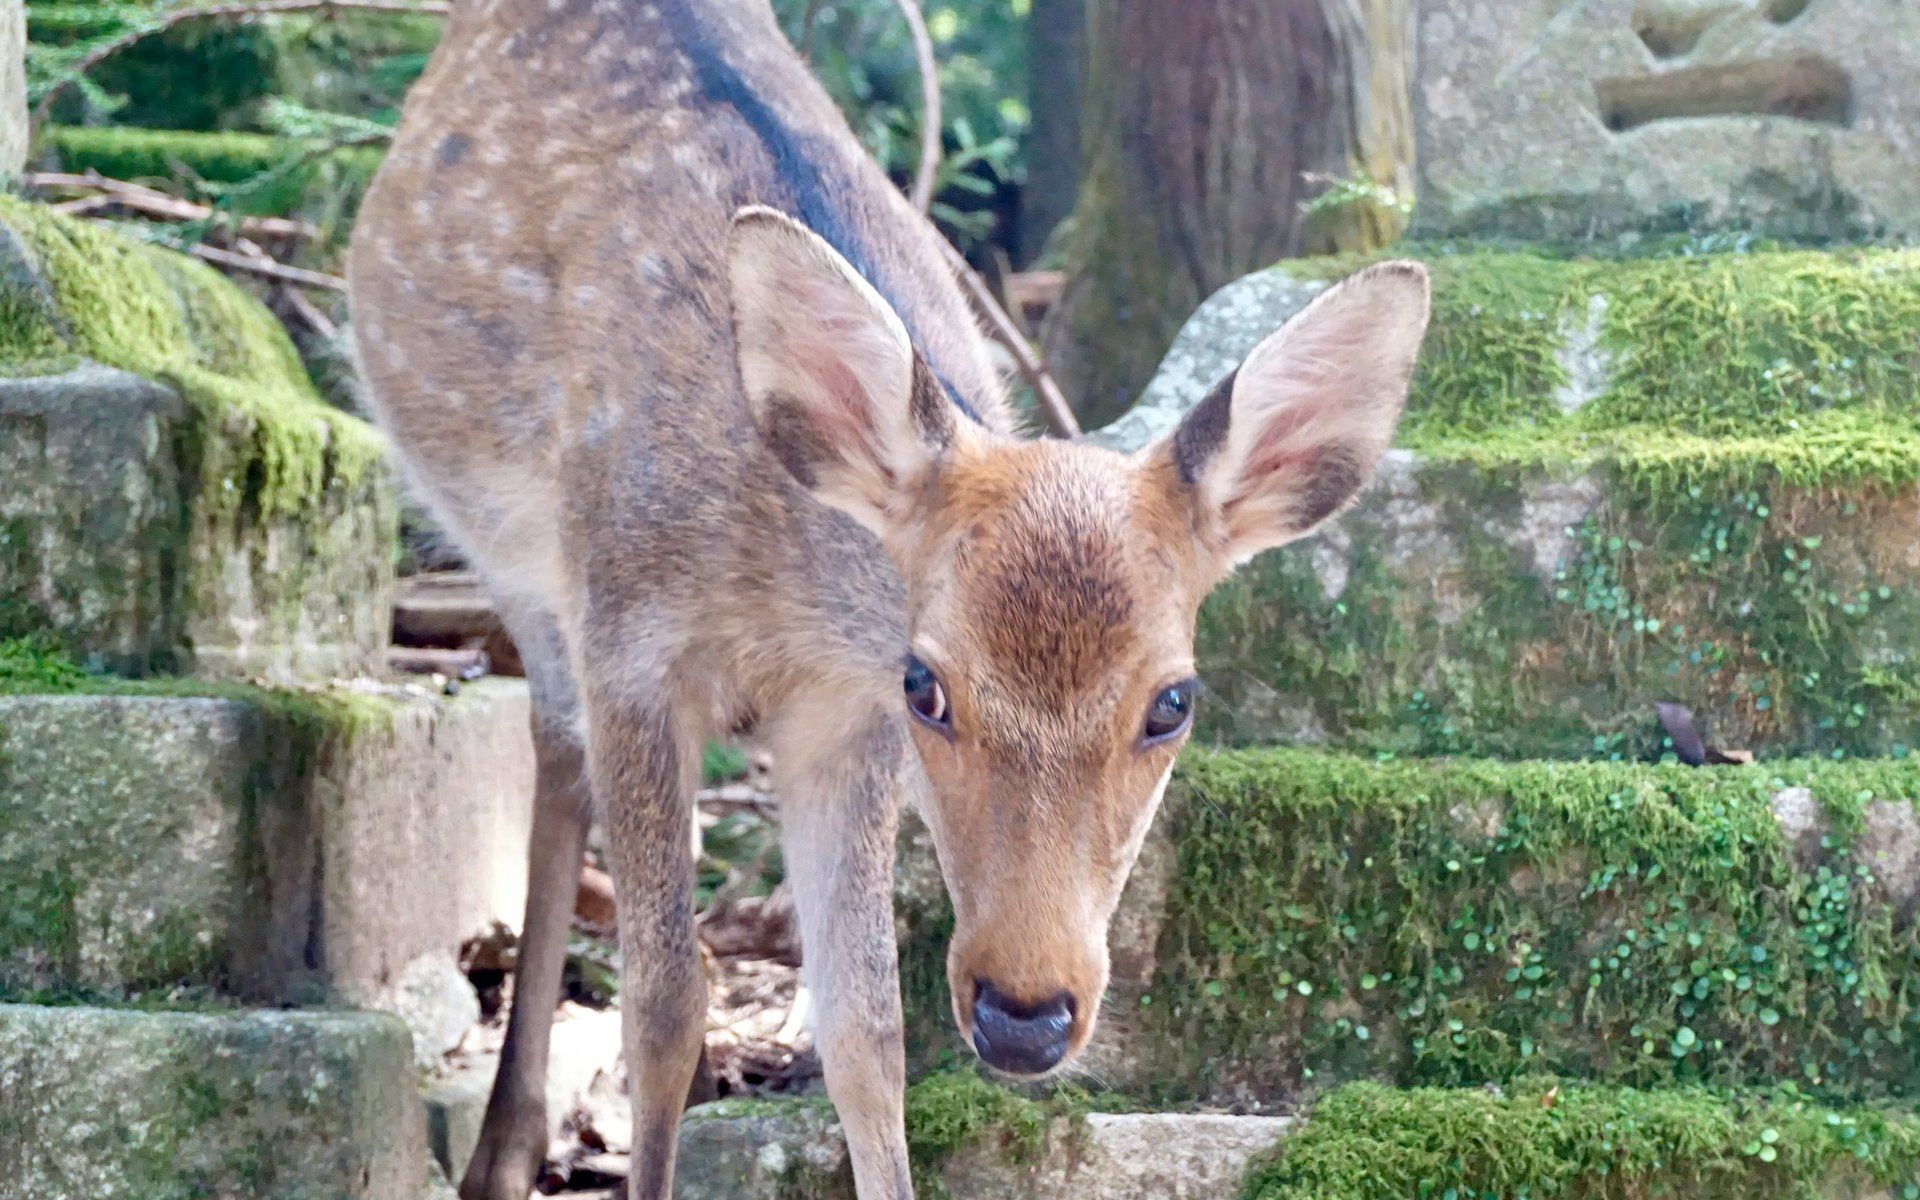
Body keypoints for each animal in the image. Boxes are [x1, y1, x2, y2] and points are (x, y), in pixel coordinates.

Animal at [345, 0, 1428, 1190]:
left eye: (1173, 703)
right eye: (929, 686)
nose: (1023, 1017)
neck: (777, 600)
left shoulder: (840, 722)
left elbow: (867, 1035)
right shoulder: (633, 644)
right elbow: (664, 1009)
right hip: (520, 560)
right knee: (552, 751)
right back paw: (503, 1151)